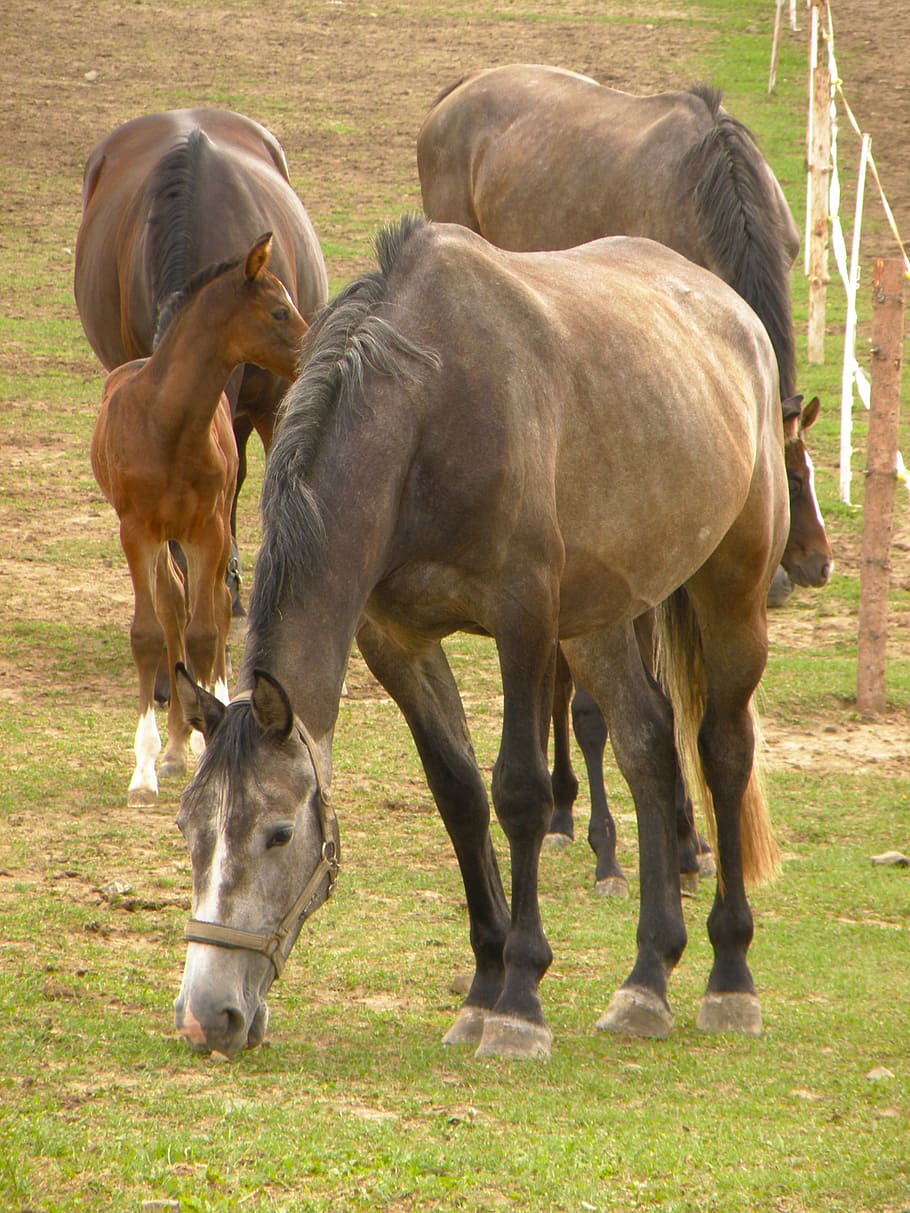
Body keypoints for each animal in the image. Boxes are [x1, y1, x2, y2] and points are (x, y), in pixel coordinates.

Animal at [91, 234, 308, 807]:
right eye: (279, 311)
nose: (312, 351)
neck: (167, 424)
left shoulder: (207, 530)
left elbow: (208, 629)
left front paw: (213, 737)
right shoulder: (138, 532)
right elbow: (149, 632)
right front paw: (145, 771)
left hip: (208, 532)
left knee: (215, 602)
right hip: (164, 541)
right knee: (171, 609)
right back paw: (171, 747)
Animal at [172, 216, 789, 1061]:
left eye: (278, 832)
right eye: (190, 831)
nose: (208, 1015)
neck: (427, 414)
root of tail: (734, 314)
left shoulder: (522, 619)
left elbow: (520, 790)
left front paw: (520, 997)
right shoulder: (396, 639)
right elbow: (460, 794)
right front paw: (482, 985)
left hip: (731, 591)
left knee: (722, 753)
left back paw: (731, 975)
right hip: (598, 621)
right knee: (649, 748)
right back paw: (646, 978)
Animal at [418, 63, 833, 876]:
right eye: (788, 480)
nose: (806, 565)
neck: (712, 185)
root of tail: (461, 91)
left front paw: (690, 837)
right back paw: (565, 807)